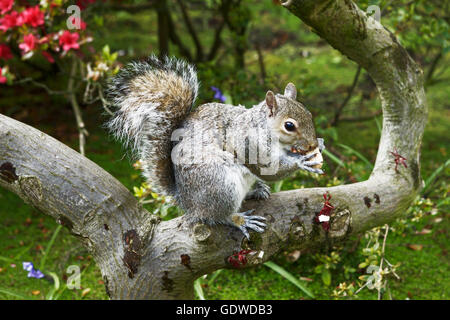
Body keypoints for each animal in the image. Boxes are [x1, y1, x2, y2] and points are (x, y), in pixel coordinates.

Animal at [106, 55, 324, 239]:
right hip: (220, 185)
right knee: (217, 216)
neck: (263, 128)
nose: (312, 143)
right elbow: (269, 168)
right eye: (289, 126)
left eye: (308, 114)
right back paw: (240, 220)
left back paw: (257, 190)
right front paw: (302, 162)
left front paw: (319, 145)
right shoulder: (249, 144)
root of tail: (187, 203)